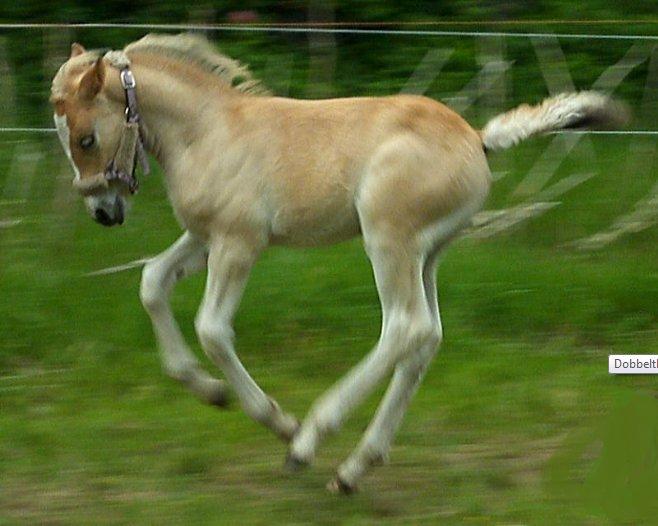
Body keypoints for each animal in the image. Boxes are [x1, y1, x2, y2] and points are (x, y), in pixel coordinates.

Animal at [52, 34, 624, 496]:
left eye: (85, 138)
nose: (104, 212)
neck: (207, 131)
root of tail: (477, 140)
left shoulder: (239, 241)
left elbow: (212, 328)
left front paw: (277, 420)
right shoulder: (203, 236)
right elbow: (152, 282)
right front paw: (208, 391)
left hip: (388, 237)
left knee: (405, 326)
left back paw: (308, 442)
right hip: (428, 253)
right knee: (426, 339)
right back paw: (353, 469)